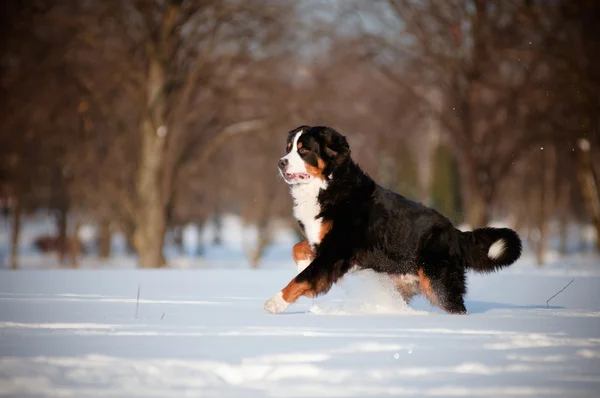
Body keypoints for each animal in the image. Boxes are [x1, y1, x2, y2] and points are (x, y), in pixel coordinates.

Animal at [264, 126, 524, 316]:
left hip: (438, 282)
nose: (280, 162)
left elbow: (301, 279)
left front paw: (275, 302)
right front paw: (302, 262)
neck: (328, 187)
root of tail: (454, 232)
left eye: (304, 150)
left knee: (454, 305)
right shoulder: (326, 244)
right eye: (288, 148)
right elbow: (297, 248)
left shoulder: (335, 252)